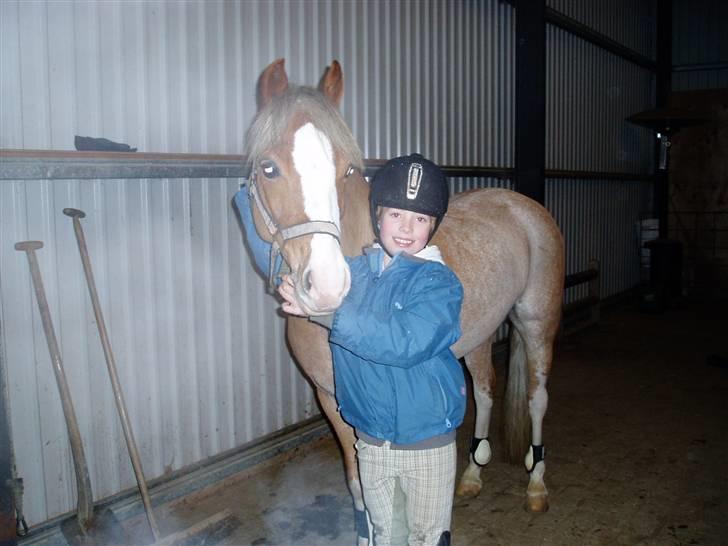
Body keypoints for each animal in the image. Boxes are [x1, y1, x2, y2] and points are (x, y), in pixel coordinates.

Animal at [241, 58, 565, 544]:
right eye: (268, 168)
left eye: (347, 170)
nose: (327, 288)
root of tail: (521, 204)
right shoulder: (332, 401)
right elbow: (359, 487)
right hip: (481, 335)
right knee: (485, 391)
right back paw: (472, 475)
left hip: (536, 323)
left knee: (537, 398)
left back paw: (537, 486)